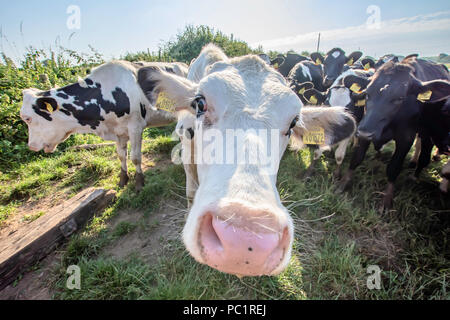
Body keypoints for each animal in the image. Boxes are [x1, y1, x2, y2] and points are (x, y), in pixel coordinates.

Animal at [20, 60, 178, 190]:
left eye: (27, 118)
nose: (31, 146)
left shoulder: (135, 126)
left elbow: (135, 157)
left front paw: (139, 183)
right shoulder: (118, 131)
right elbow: (121, 156)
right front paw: (123, 180)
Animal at [342, 54, 450, 212]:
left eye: (400, 98)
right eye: (367, 93)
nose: (365, 131)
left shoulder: (405, 138)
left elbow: (394, 168)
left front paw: (386, 203)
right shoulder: (365, 129)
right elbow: (356, 158)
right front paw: (342, 186)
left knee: (424, 155)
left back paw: (415, 174)